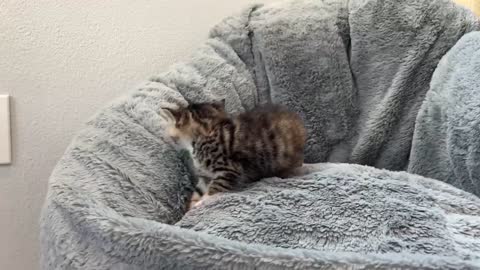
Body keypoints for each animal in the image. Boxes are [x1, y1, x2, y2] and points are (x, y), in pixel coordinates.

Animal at [165, 100, 306, 208]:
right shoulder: (205, 175)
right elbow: (199, 191)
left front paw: (200, 204)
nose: (171, 140)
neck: (208, 131)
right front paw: (191, 206)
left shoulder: (229, 170)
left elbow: (213, 189)